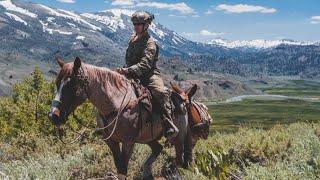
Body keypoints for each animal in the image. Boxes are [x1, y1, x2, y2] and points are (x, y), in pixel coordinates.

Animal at [47, 57, 192, 179]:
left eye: (71, 85)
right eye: (57, 83)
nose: (53, 115)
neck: (116, 103)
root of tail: (181, 99)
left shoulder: (128, 142)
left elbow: (123, 168)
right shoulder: (111, 141)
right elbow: (119, 167)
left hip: (178, 137)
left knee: (178, 159)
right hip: (148, 138)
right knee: (158, 148)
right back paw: (147, 172)